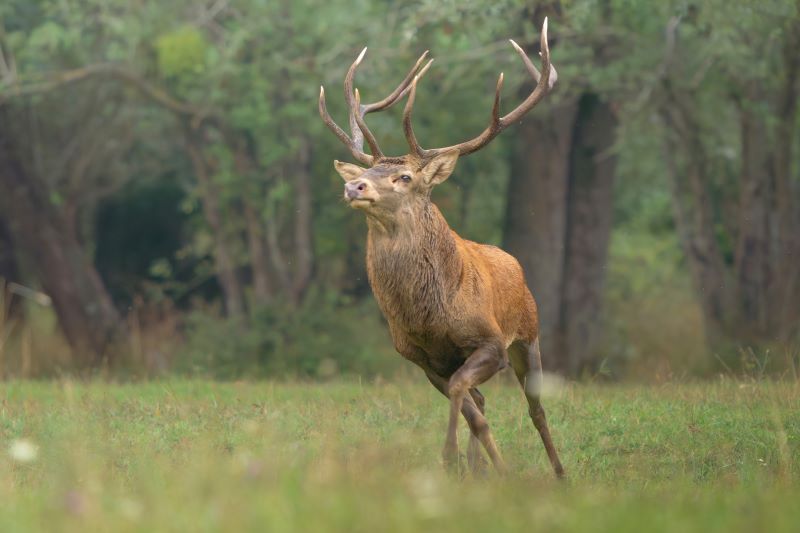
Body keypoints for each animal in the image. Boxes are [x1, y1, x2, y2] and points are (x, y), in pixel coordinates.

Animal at [318, 18, 564, 476]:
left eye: (405, 178)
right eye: (367, 172)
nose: (353, 186)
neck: (429, 317)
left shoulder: (490, 343)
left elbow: (466, 396)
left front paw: (464, 461)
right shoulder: (422, 360)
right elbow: (470, 407)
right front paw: (463, 465)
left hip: (530, 331)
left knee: (536, 410)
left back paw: (559, 474)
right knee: (480, 401)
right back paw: (480, 468)